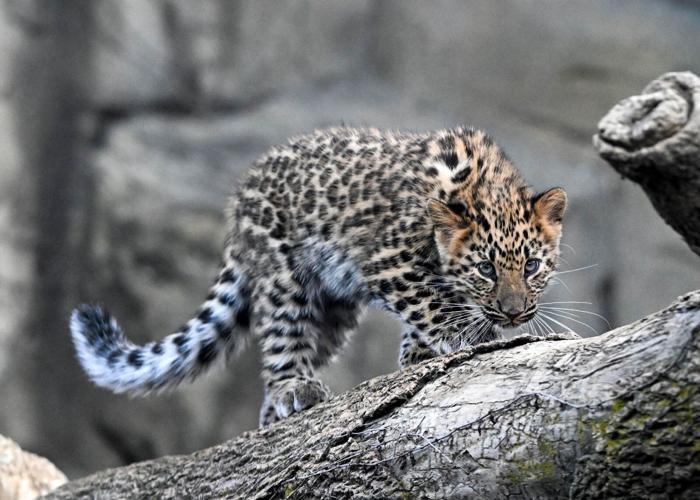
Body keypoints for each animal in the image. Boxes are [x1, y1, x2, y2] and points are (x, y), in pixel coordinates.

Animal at [70, 125, 567, 426]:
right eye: (485, 269)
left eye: (532, 266)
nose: (514, 314)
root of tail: (243, 195)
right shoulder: (390, 261)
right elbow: (430, 302)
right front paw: (463, 336)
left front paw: (419, 353)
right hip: (283, 278)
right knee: (280, 342)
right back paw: (293, 390)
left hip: (332, 309)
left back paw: (272, 414)